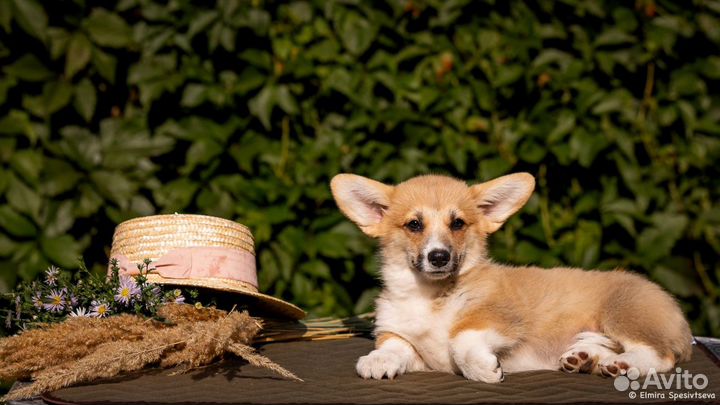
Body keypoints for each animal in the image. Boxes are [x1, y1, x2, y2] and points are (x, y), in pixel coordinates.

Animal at [330, 172, 692, 380]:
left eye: (457, 223)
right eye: (414, 225)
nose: (439, 257)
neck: (429, 297)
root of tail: (676, 311)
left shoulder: (499, 318)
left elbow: (461, 339)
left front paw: (484, 370)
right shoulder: (407, 342)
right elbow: (394, 346)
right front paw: (377, 361)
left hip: (623, 313)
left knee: (661, 355)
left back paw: (624, 365)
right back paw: (585, 358)